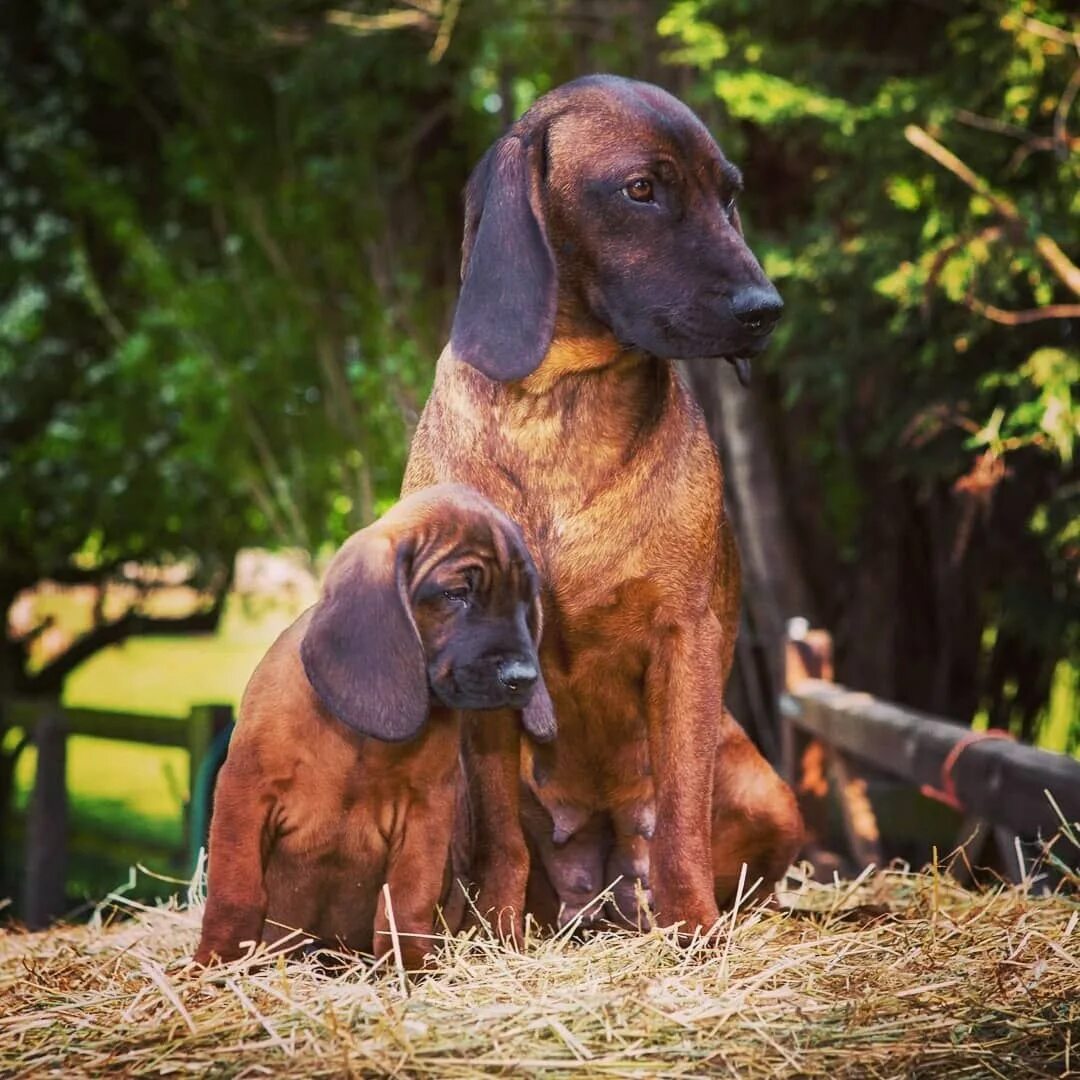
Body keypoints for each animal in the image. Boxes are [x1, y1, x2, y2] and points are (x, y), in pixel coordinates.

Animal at [191, 486, 557, 967]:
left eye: (525, 599)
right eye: (456, 593)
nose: (523, 678)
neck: (360, 740)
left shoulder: (425, 813)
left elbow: (406, 903)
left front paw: (410, 967)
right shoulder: (243, 794)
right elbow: (235, 892)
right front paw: (216, 962)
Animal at [406, 76, 803, 937]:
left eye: (730, 194)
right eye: (642, 190)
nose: (766, 308)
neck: (564, 401)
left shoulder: (688, 637)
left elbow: (683, 817)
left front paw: (694, 930)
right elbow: (501, 840)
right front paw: (499, 934)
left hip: (767, 789)